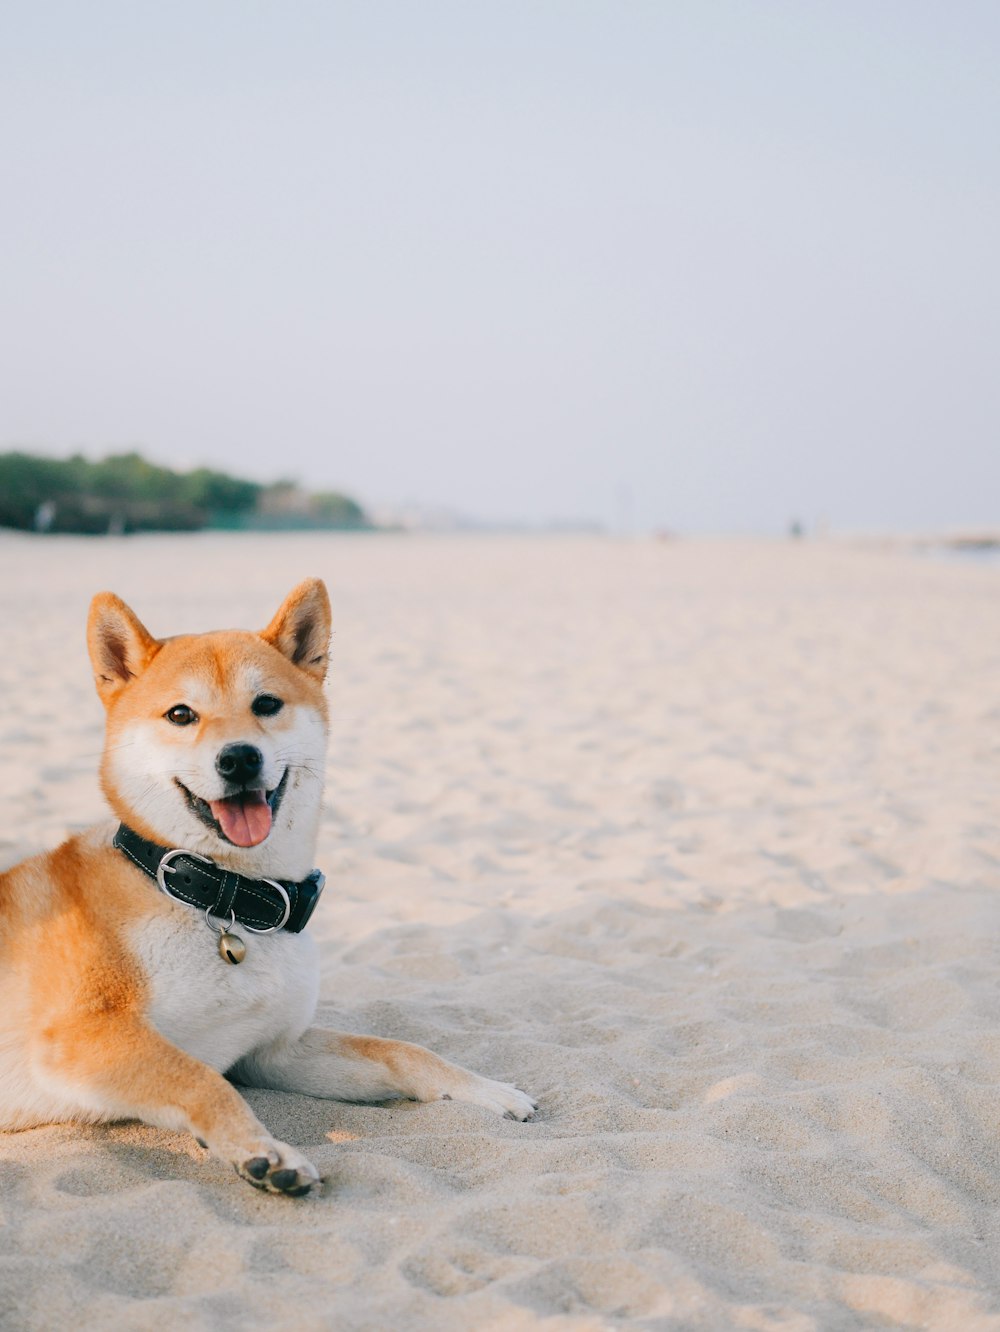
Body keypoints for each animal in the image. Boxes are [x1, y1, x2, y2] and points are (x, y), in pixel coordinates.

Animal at [0, 583, 540, 1198]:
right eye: (181, 714)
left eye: (266, 705)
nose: (239, 757)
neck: (224, 899)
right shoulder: (82, 1036)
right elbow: (201, 1081)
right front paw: (266, 1151)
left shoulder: (273, 1051)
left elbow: (400, 1050)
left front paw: (488, 1090)